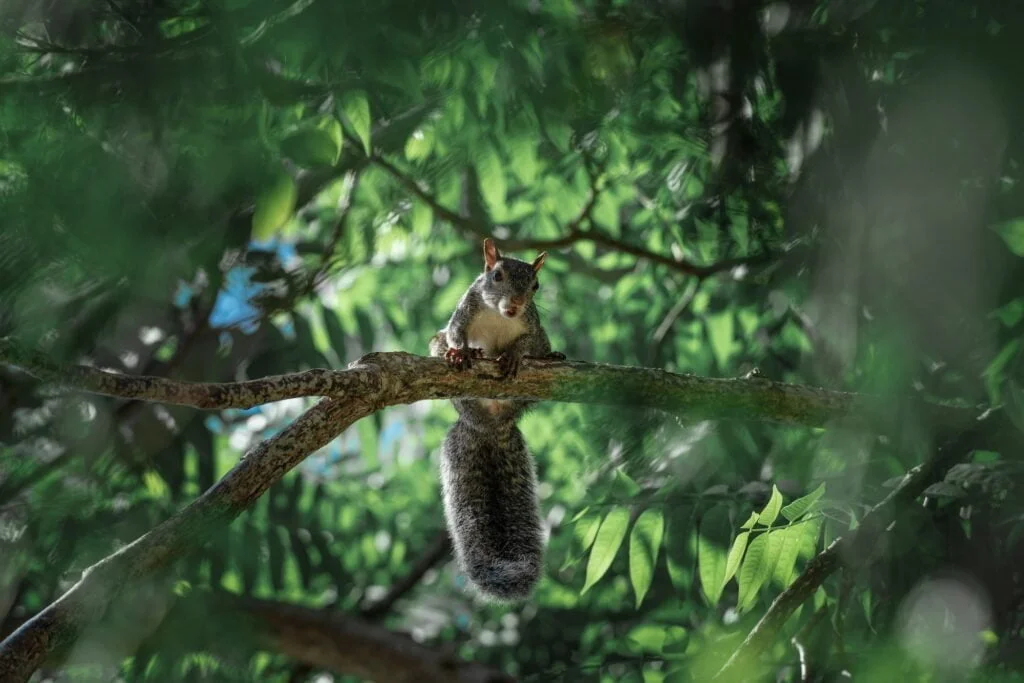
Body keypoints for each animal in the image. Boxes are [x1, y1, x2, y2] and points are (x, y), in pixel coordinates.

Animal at [428, 237, 565, 602]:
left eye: (535, 285)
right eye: (497, 275)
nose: (515, 304)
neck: (498, 316)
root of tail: (489, 425)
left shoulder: (534, 327)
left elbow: (532, 343)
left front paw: (516, 354)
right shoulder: (464, 311)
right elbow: (456, 333)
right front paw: (461, 351)